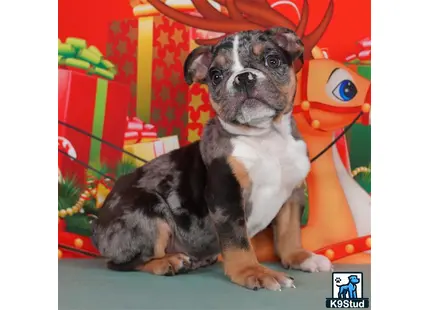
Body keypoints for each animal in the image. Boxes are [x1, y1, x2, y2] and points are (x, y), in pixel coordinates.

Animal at [91, 27, 332, 290]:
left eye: (272, 60)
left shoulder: (292, 195)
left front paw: (299, 257)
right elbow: (238, 241)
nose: (243, 77)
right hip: (148, 209)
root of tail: (97, 225)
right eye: (216, 75)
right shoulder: (226, 196)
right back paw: (168, 262)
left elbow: (289, 233)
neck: (266, 137)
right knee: (127, 262)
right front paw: (252, 271)